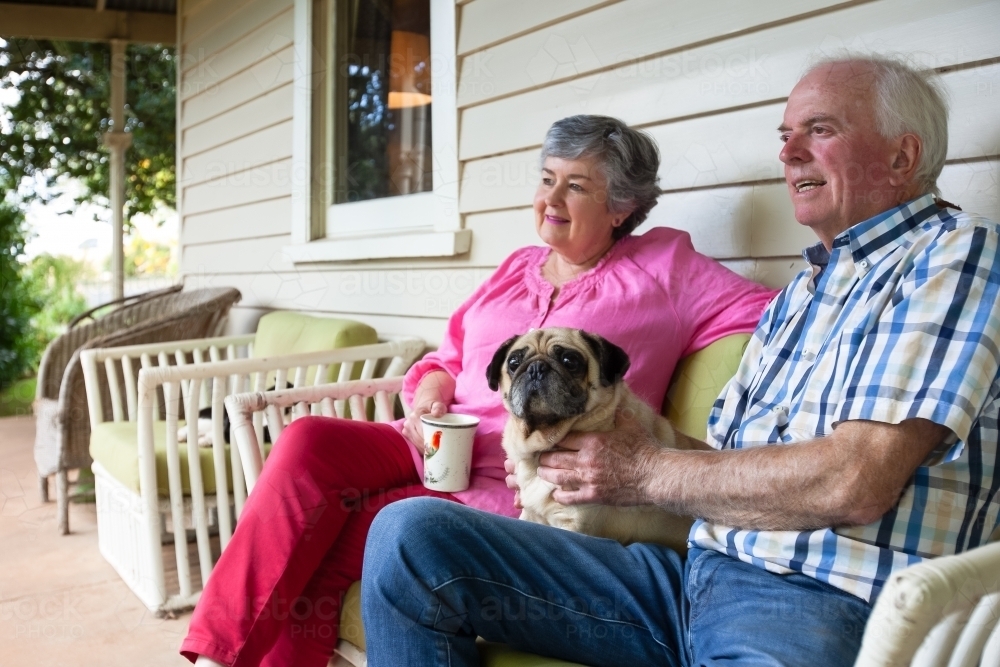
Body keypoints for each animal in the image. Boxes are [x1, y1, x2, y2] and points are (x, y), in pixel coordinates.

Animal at [486, 328, 692, 552]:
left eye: (570, 361)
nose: (536, 368)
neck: (543, 443)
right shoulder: (531, 515)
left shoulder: (573, 526)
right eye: (514, 363)